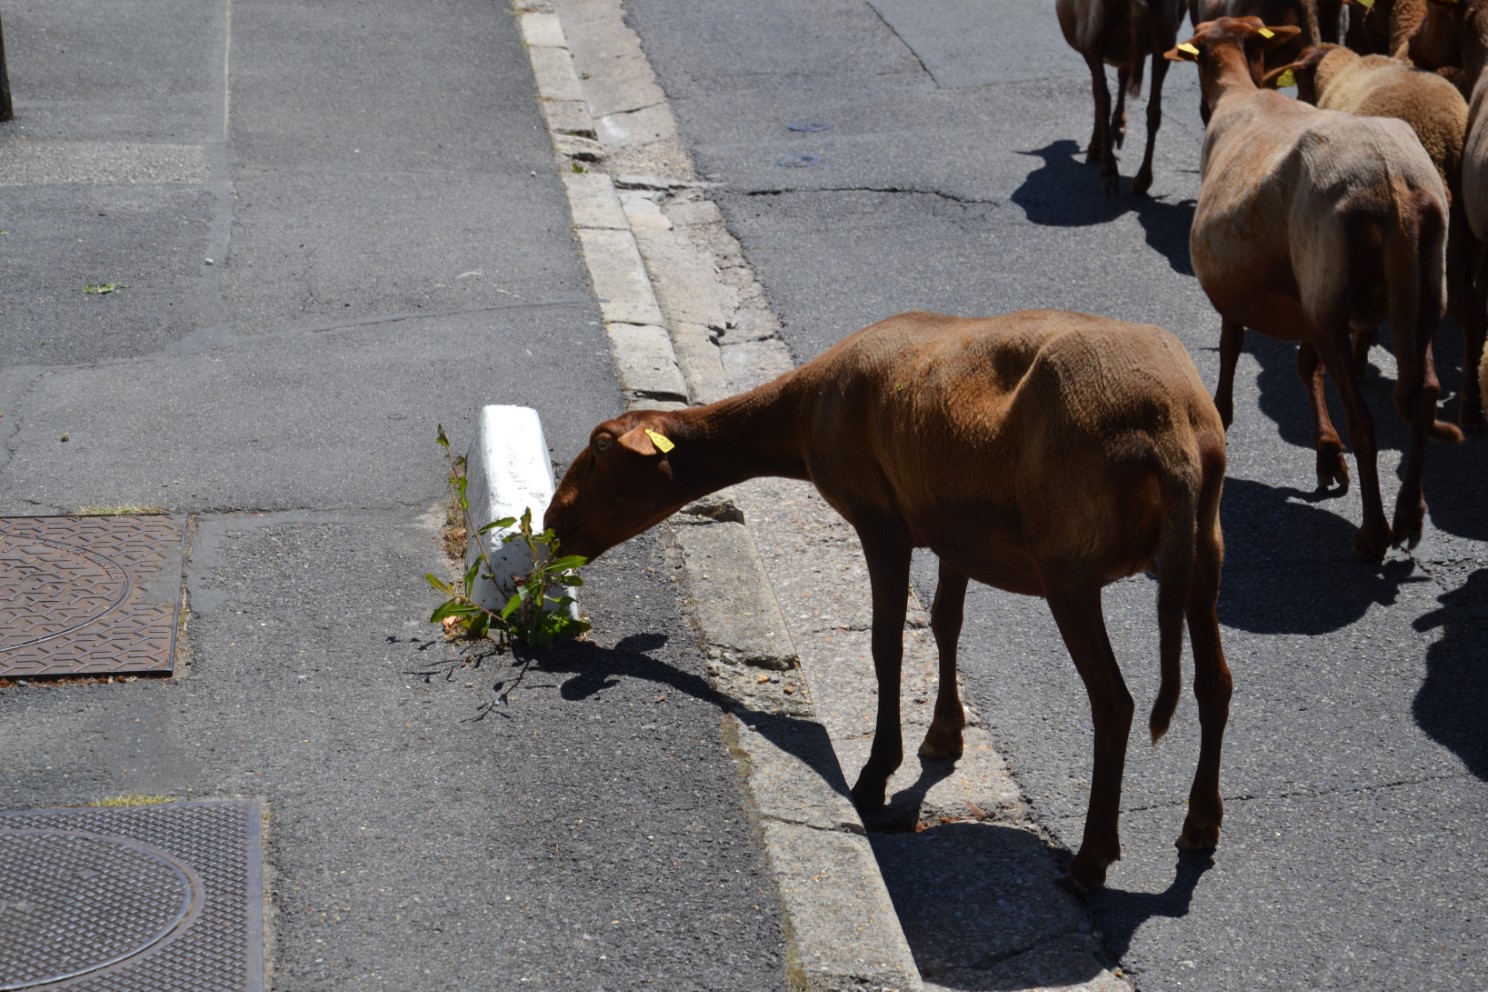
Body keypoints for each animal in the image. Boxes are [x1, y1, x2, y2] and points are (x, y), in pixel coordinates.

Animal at [547, 310, 1232, 892]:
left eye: (601, 447)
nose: (551, 525)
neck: (800, 417)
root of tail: (1172, 429)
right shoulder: (954, 527)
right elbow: (946, 622)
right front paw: (944, 736)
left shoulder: (879, 519)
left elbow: (886, 644)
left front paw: (876, 775)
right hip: (1205, 545)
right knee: (1214, 683)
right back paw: (1200, 824)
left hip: (1070, 562)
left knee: (1115, 702)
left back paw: (1092, 861)